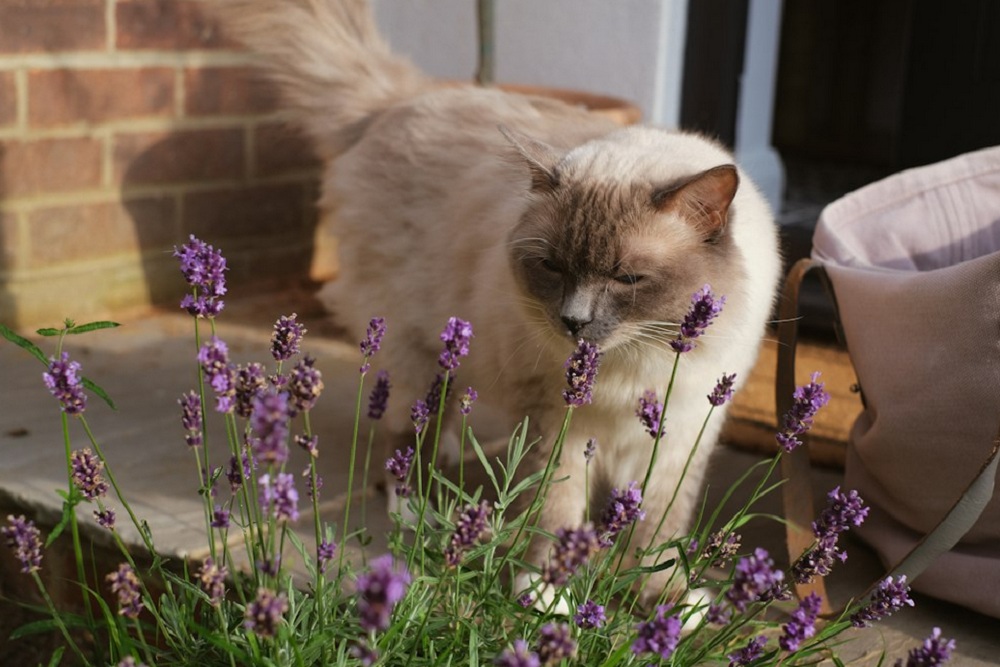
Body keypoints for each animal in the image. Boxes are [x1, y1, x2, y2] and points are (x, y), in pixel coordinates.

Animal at [215, 0, 784, 604]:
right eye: (552, 266)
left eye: (627, 278)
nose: (573, 321)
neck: (633, 362)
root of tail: (402, 98)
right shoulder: (558, 422)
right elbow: (557, 509)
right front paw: (548, 592)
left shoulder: (679, 433)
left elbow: (658, 527)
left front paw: (666, 601)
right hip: (419, 349)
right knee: (408, 432)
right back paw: (417, 509)